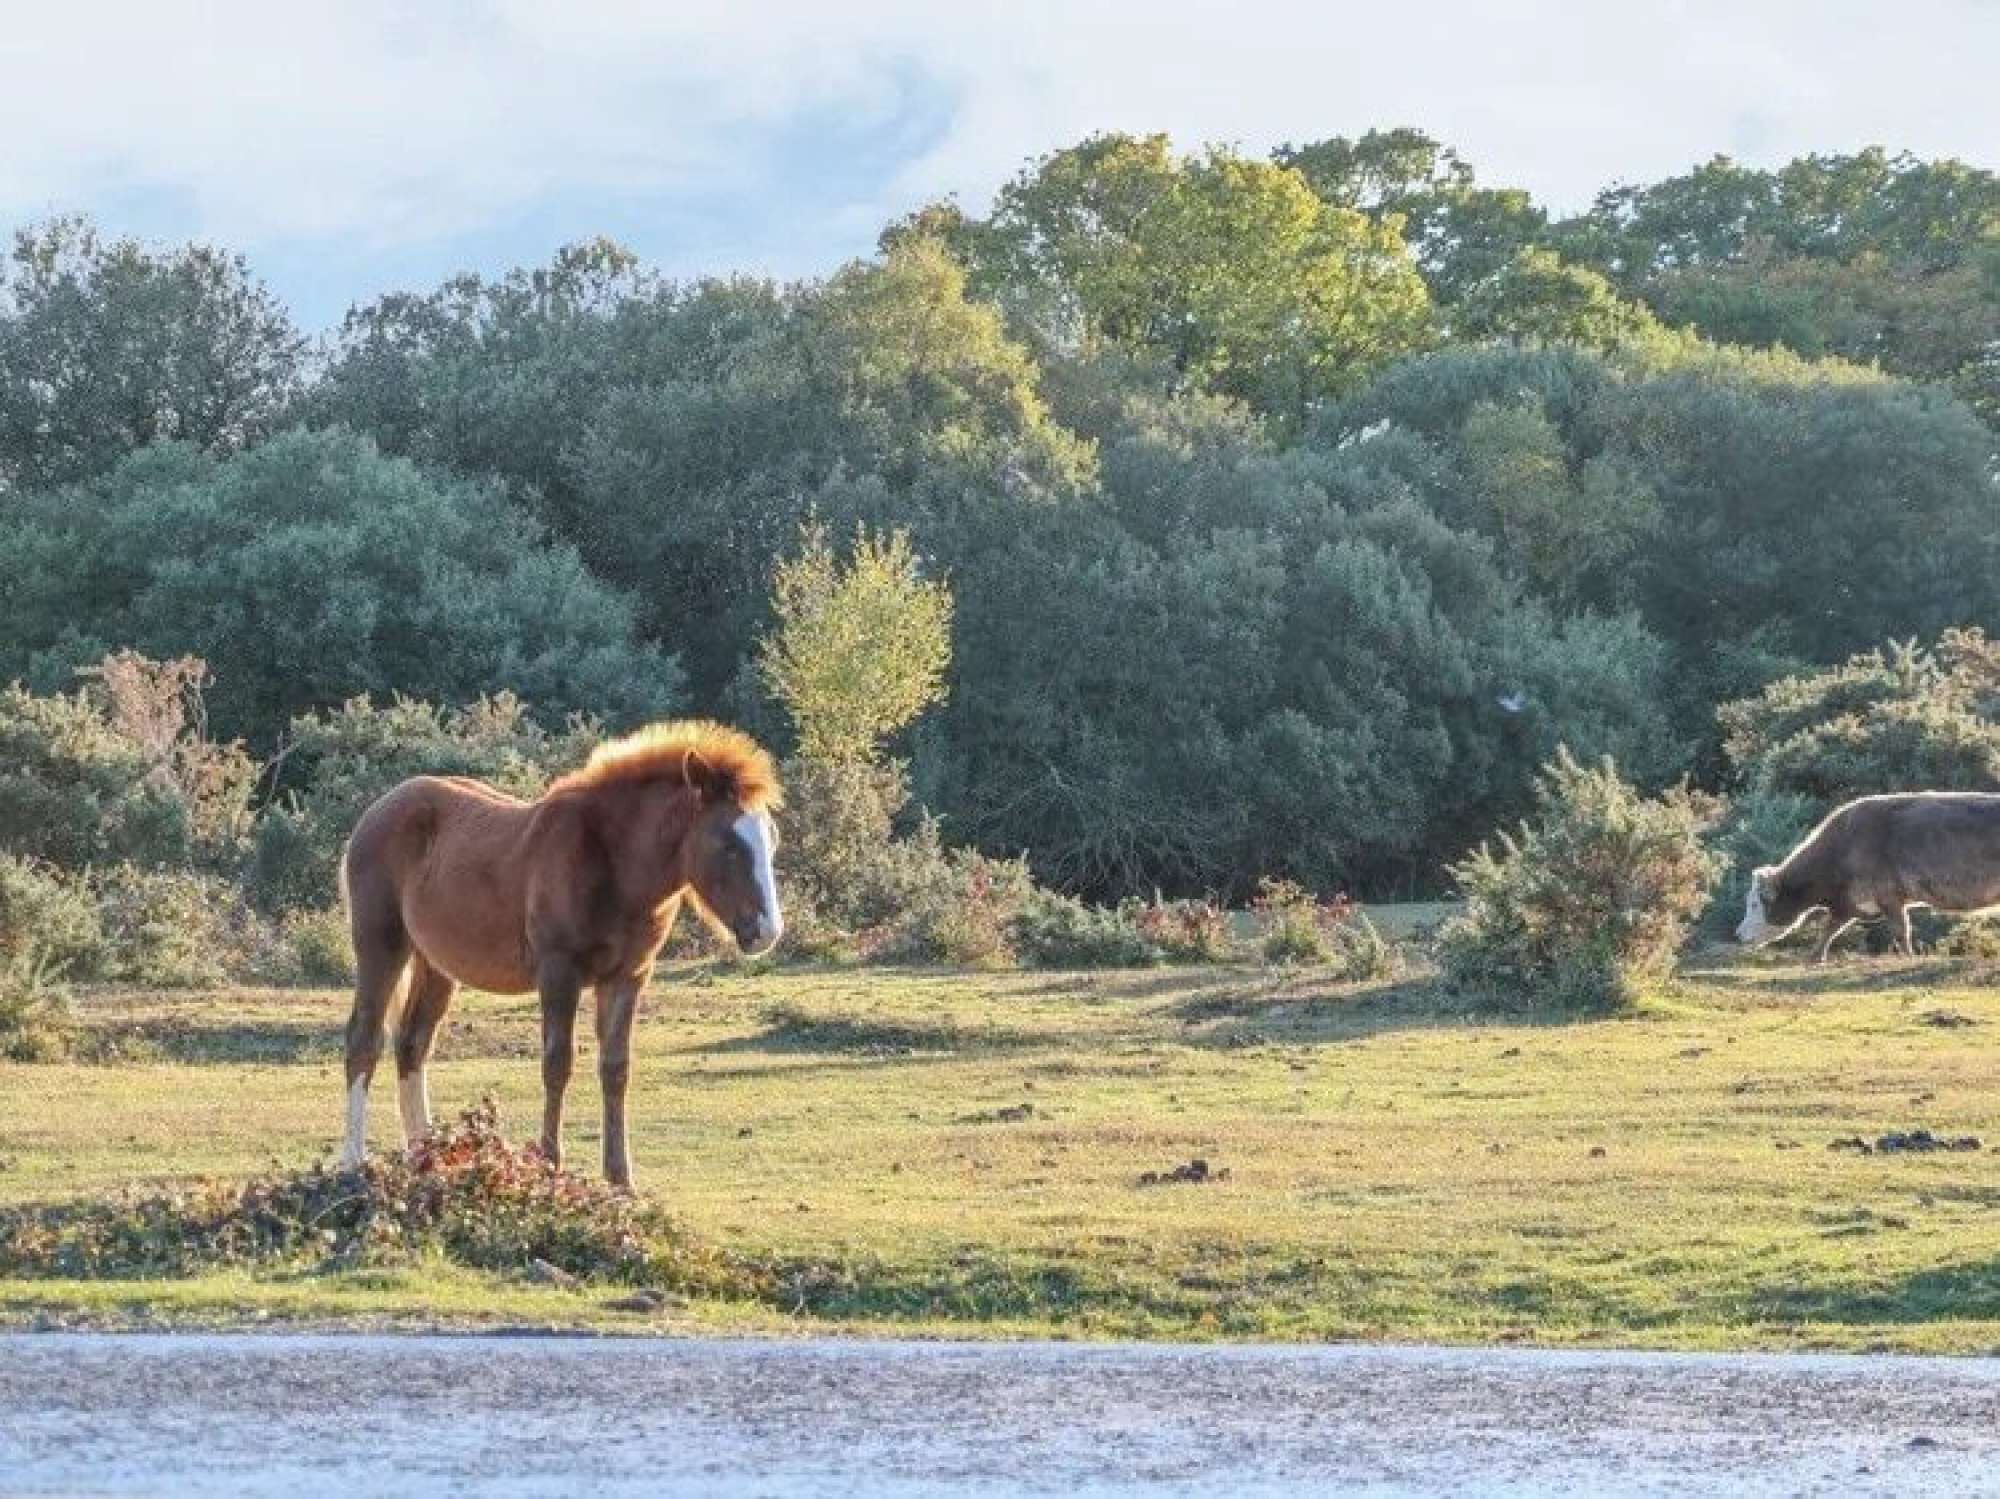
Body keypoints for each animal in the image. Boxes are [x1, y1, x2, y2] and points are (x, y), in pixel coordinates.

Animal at [336, 720, 784, 1188]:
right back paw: (353, 1162)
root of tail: (375, 813)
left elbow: (616, 1069)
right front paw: (550, 1165)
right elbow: (557, 1064)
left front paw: (620, 1180)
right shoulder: (558, 972)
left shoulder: (628, 976)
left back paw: (426, 1158)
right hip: (381, 944)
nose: (766, 931)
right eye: (728, 844)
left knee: (413, 1043)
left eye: (771, 839)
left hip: (436, 963)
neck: (611, 864)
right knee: (364, 1038)